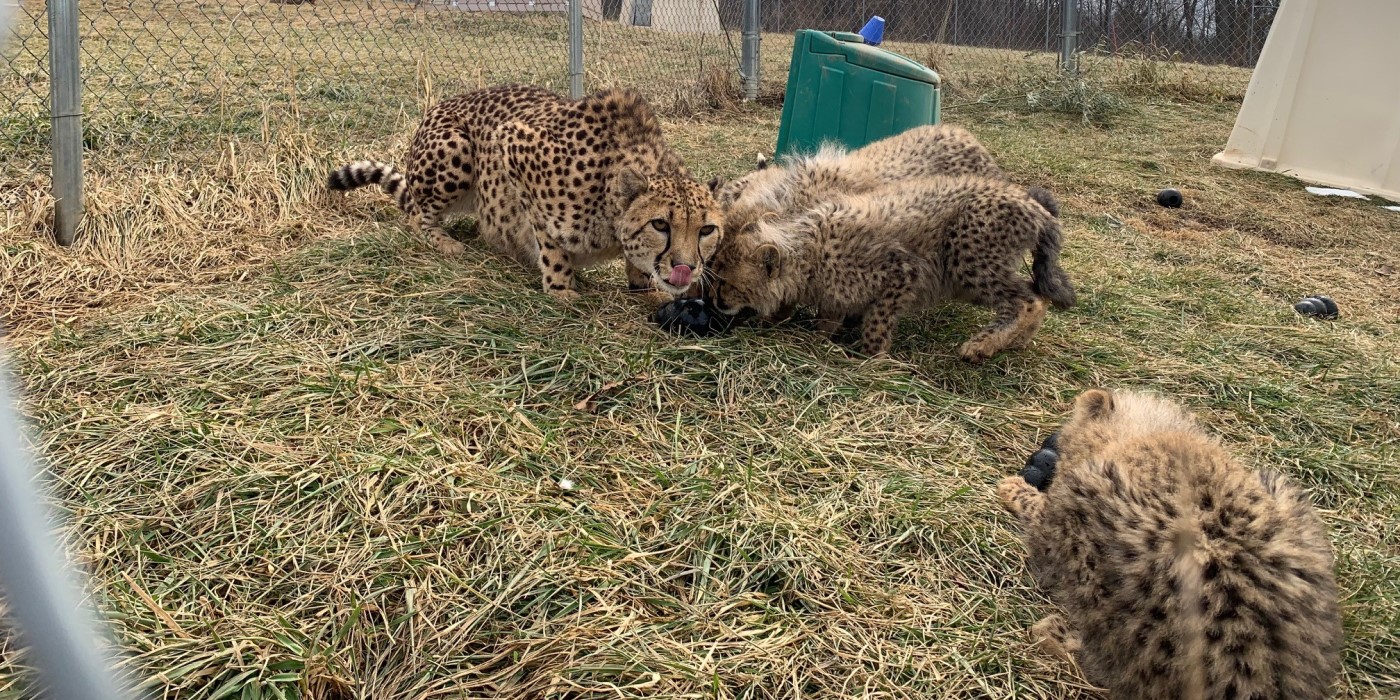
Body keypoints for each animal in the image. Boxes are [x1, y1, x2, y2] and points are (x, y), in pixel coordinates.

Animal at [329, 84, 722, 301]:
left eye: (706, 230)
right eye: (660, 225)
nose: (686, 268)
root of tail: (436, 108)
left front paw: (644, 283)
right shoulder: (512, 143)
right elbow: (548, 238)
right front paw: (562, 288)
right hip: (457, 151)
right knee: (415, 216)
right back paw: (446, 241)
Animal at [711, 175, 1069, 361]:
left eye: (726, 282)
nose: (717, 302)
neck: (809, 251)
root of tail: (1033, 204)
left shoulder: (902, 271)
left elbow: (876, 322)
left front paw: (872, 358)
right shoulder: (835, 292)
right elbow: (830, 315)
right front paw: (819, 338)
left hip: (967, 259)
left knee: (1027, 299)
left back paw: (982, 345)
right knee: (1037, 294)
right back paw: (1018, 341)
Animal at [1002, 389, 1338, 700]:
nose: (1048, 451)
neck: (1144, 435)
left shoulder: (1067, 517)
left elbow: (1039, 514)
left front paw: (1013, 488)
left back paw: (1052, 633)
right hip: (1285, 495)